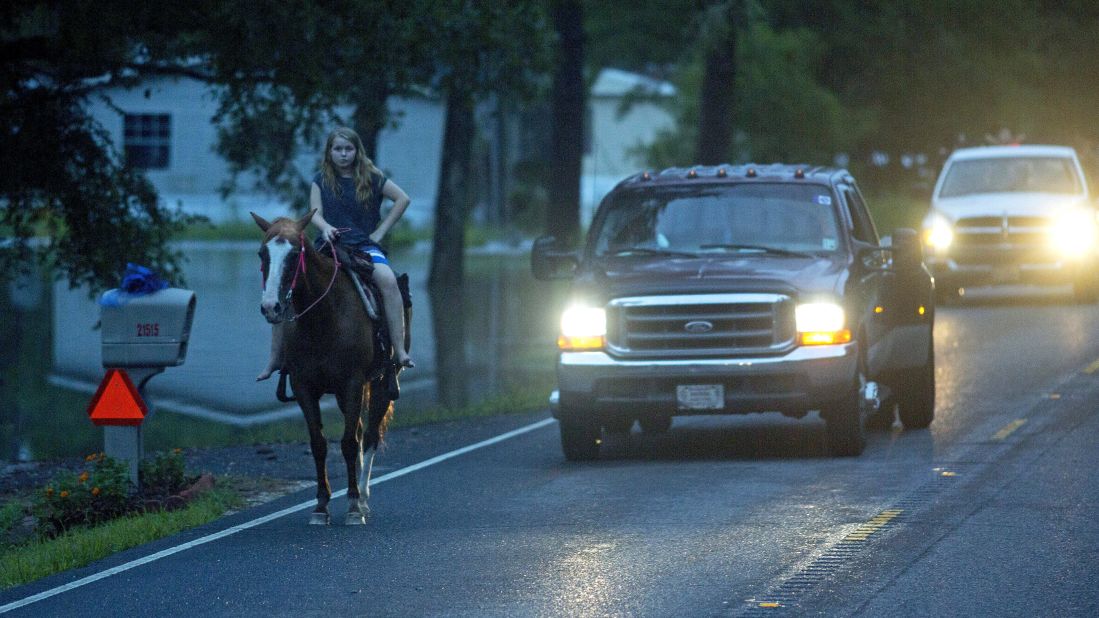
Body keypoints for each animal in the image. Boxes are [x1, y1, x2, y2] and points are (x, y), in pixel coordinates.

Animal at [251, 208, 397, 521]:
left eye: (295, 254)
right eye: (262, 253)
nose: (271, 307)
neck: (322, 319)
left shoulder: (353, 383)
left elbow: (349, 443)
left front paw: (353, 505)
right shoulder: (303, 386)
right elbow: (318, 444)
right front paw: (321, 506)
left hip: (380, 384)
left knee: (369, 436)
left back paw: (363, 497)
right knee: (359, 432)